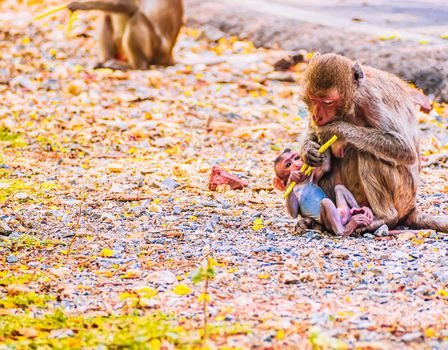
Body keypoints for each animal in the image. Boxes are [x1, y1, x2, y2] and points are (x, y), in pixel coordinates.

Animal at [300, 53, 448, 232]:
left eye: (328, 102)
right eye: (312, 99)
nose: (317, 116)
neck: (354, 99)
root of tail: (411, 208)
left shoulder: (371, 99)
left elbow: (405, 148)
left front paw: (334, 129)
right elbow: (313, 132)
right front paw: (309, 151)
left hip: (402, 195)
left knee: (369, 154)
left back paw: (386, 217)